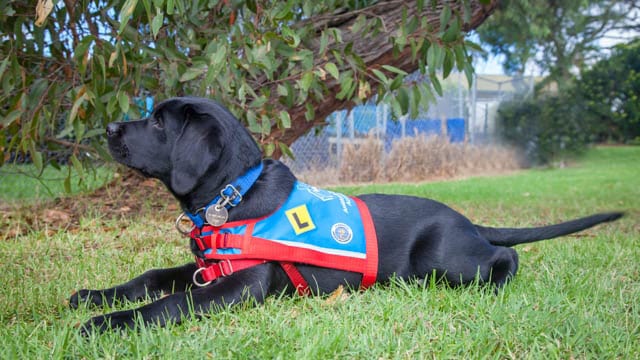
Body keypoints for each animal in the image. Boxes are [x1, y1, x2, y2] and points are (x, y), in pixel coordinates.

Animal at [69, 95, 620, 332]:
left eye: (159, 122)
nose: (109, 128)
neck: (230, 195)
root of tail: (465, 219)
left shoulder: (241, 285)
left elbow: (167, 304)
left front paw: (108, 322)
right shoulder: (209, 267)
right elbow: (151, 277)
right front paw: (94, 296)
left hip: (444, 260)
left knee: (506, 258)